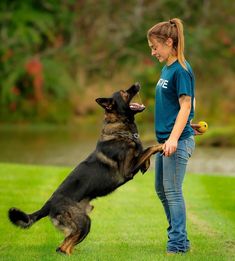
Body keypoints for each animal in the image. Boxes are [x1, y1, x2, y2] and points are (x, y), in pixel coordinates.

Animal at [7, 83, 162, 254]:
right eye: (123, 93)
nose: (137, 84)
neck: (120, 127)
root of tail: (48, 204)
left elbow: (143, 151)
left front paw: (147, 164)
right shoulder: (127, 170)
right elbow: (150, 147)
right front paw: (164, 145)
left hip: (83, 224)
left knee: (63, 245)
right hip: (84, 222)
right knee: (63, 247)